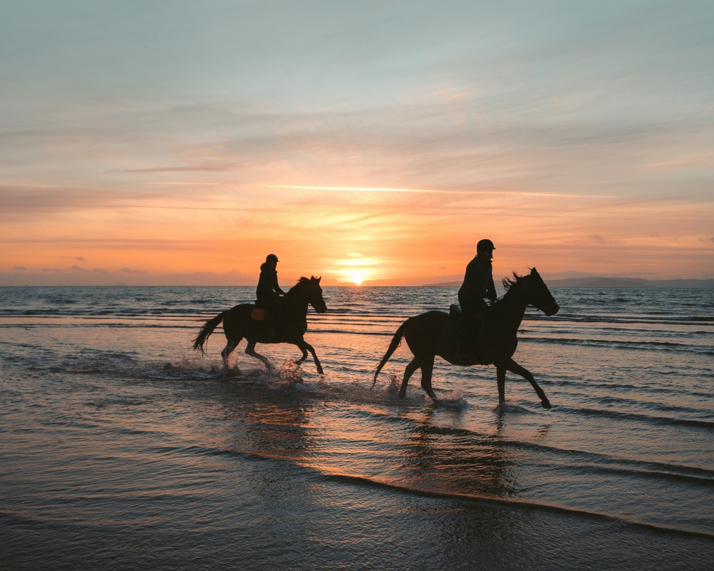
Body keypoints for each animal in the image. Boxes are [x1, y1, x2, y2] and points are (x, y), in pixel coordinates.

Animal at [193, 276, 327, 373]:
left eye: (320, 291)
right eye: (315, 291)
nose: (323, 308)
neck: (292, 310)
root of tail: (228, 312)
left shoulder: (298, 337)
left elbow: (306, 351)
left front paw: (294, 364)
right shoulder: (292, 337)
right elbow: (310, 348)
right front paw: (319, 368)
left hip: (251, 337)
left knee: (248, 350)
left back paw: (267, 365)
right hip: (235, 337)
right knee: (226, 352)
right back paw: (232, 369)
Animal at [372, 268, 559, 407]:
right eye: (541, 287)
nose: (555, 307)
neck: (502, 320)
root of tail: (413, 319)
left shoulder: (501, 362)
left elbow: (501, 389)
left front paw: (503, 407)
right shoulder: (503, 359)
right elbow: (527, 374)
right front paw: (545, 401)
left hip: (423, 355)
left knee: (409, 370)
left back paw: (402, 397)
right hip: (426, 356)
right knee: (425, 381)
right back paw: (442, 402)